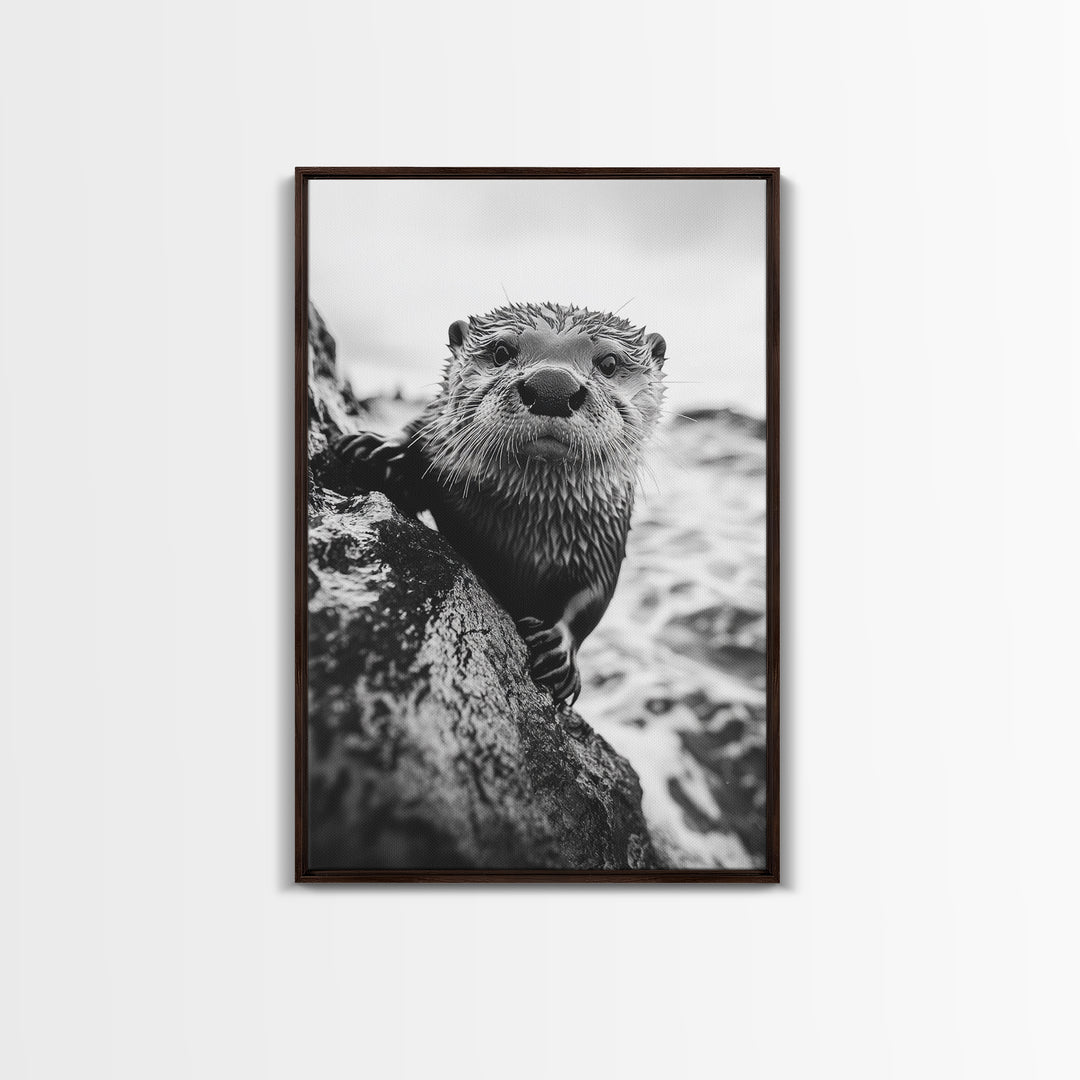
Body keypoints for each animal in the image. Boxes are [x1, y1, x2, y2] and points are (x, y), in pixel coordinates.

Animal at [330, 302, 666, 705]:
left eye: (610, 362)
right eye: (502, 351)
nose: (552, 387)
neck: (521, 526)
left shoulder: (604, 535)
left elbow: (592, 597)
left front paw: (558, 650)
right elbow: (418, 431)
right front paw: (380, 449)